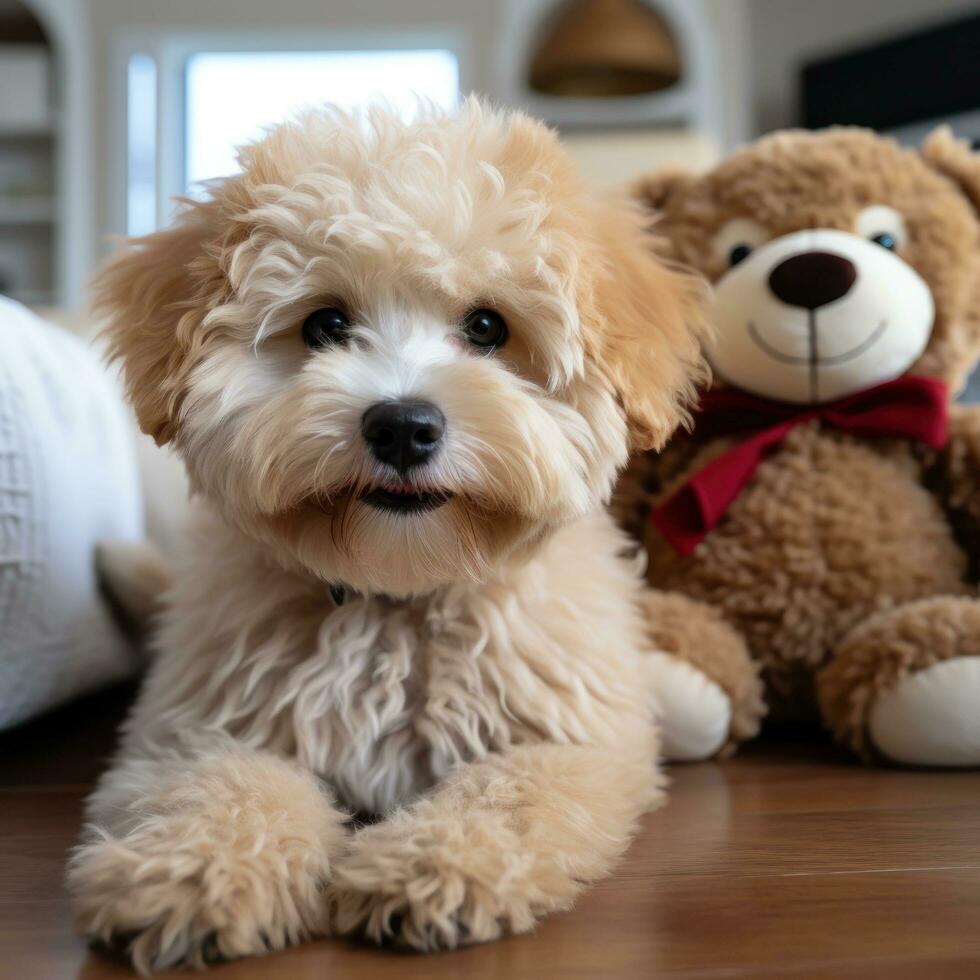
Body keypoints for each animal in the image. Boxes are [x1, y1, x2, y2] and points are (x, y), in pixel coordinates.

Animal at [67, 99, 704, 972]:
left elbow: (512, 795)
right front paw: (189, 872)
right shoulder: (201, 728)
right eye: (326, 324)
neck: (397, 596)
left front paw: (435, 865)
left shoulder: (570, 739)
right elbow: (219, 786)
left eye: (487, 327)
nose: (402, 425)